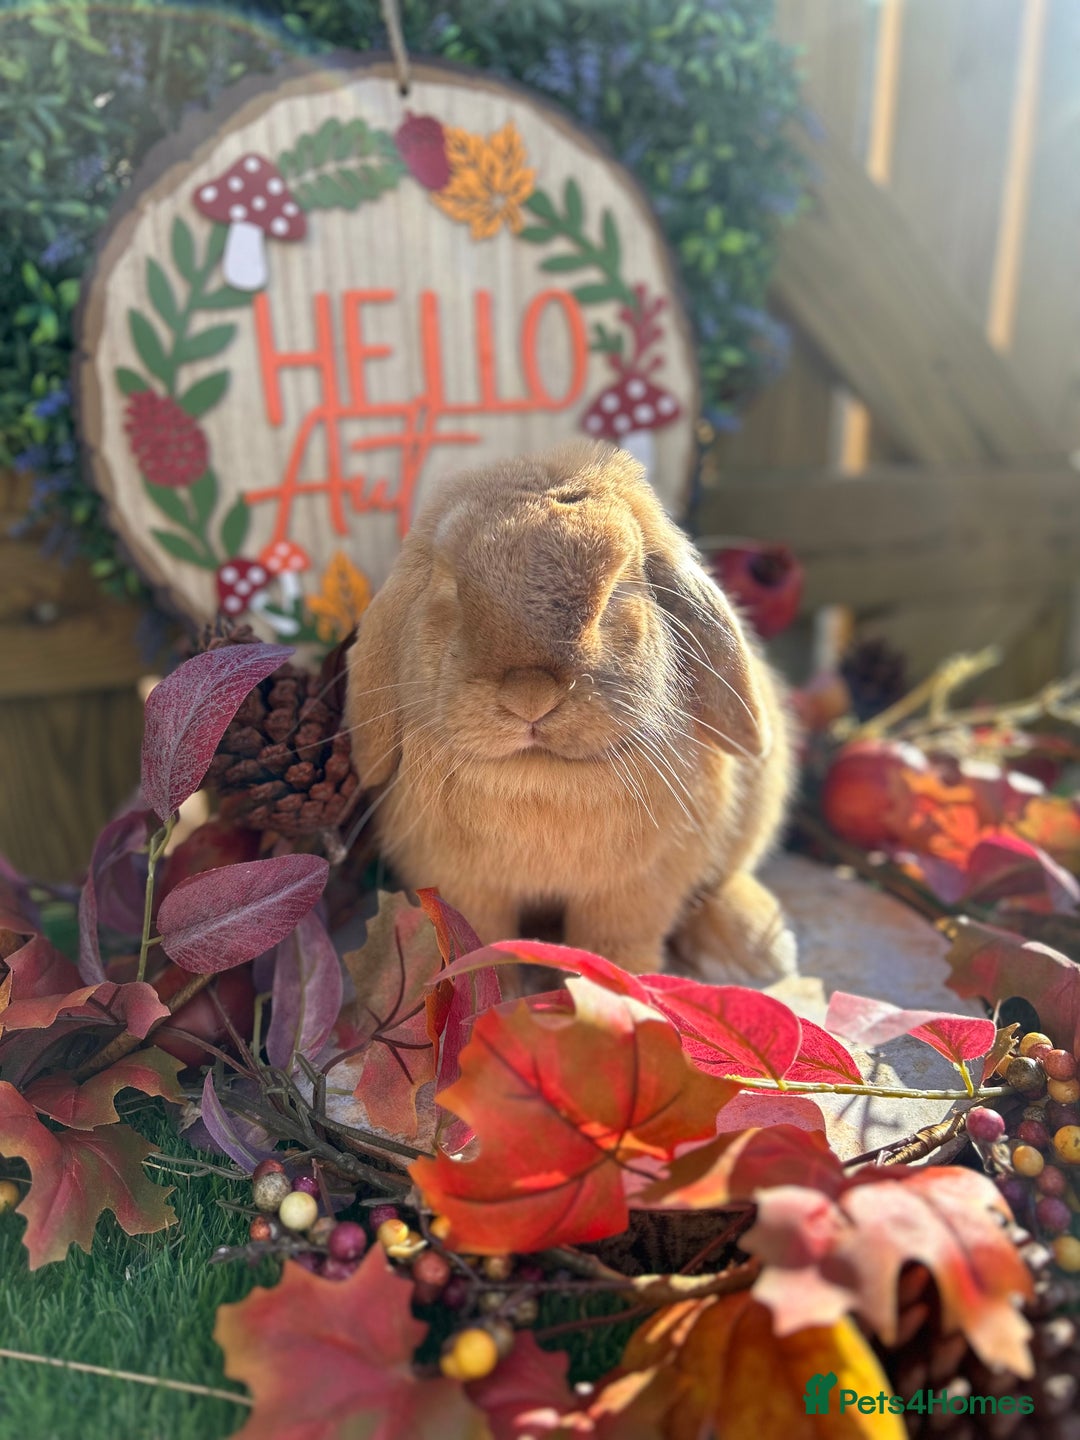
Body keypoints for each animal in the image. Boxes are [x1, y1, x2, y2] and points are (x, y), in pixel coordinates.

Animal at [344, 440, 796, 985]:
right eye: (449, 588)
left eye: (617, 592)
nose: (530, 695)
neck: (539, 778)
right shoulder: (465, 885)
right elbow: (481, 943)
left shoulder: (634, 889)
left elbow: (613, 946)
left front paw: (617, 994)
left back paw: (753, 949)